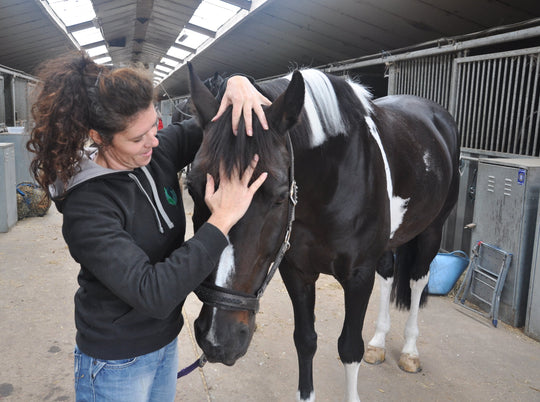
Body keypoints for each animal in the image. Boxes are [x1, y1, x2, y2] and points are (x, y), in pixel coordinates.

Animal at [186, 64, 460, 400]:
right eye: (193, 187)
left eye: (279, 196)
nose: (217, 339)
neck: (333, 180)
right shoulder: (297, 271)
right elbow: (305, 340)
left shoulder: (358, 276)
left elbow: (349, 348)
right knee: (388, 274)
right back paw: (378, 343)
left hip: (432, 231)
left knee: (419, 279)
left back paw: (410, 351)